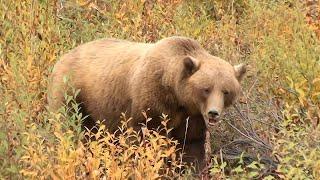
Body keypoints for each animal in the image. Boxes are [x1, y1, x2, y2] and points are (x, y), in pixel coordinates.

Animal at [48, 36, 248, 172]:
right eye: (206, 88)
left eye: (226, 91)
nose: (214, 113)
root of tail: (62, 57)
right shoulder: (149, 103)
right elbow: (143, 139)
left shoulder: (192, 116)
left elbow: (191, 145)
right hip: (74, 95)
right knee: (70, 130)